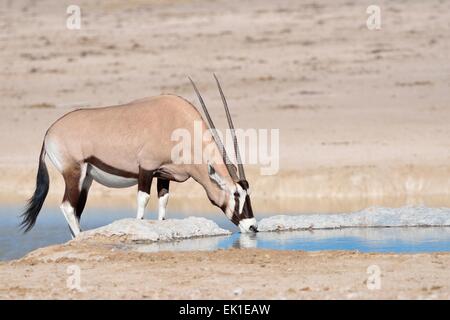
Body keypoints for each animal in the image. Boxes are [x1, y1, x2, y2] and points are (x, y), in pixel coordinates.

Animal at [21, 74, 258, 235]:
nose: (252, 226)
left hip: (86, 178)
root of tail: (49, 132)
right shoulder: (146, 168)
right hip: (74, 172)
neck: (179, 125)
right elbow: (143, 200)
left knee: (76, 210)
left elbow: (163, 202)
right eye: (236, 194)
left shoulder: (164, 174)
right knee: (68, 207)